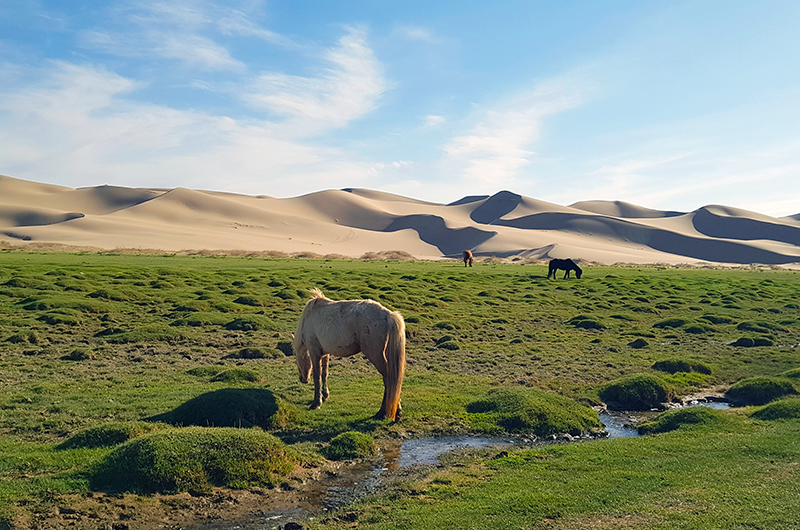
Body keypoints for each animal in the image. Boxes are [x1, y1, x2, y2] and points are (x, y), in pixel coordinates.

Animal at [292, 286, 406, 418]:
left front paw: (316, 403)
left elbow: (317, 376)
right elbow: (324, 373)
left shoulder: (314, 352)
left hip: (375, 355)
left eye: (296, 358)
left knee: (389, 379)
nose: (303, 379)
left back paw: (384, 412)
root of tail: (388, 314)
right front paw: (325, 395)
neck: (308, 317)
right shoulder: (325, 353)